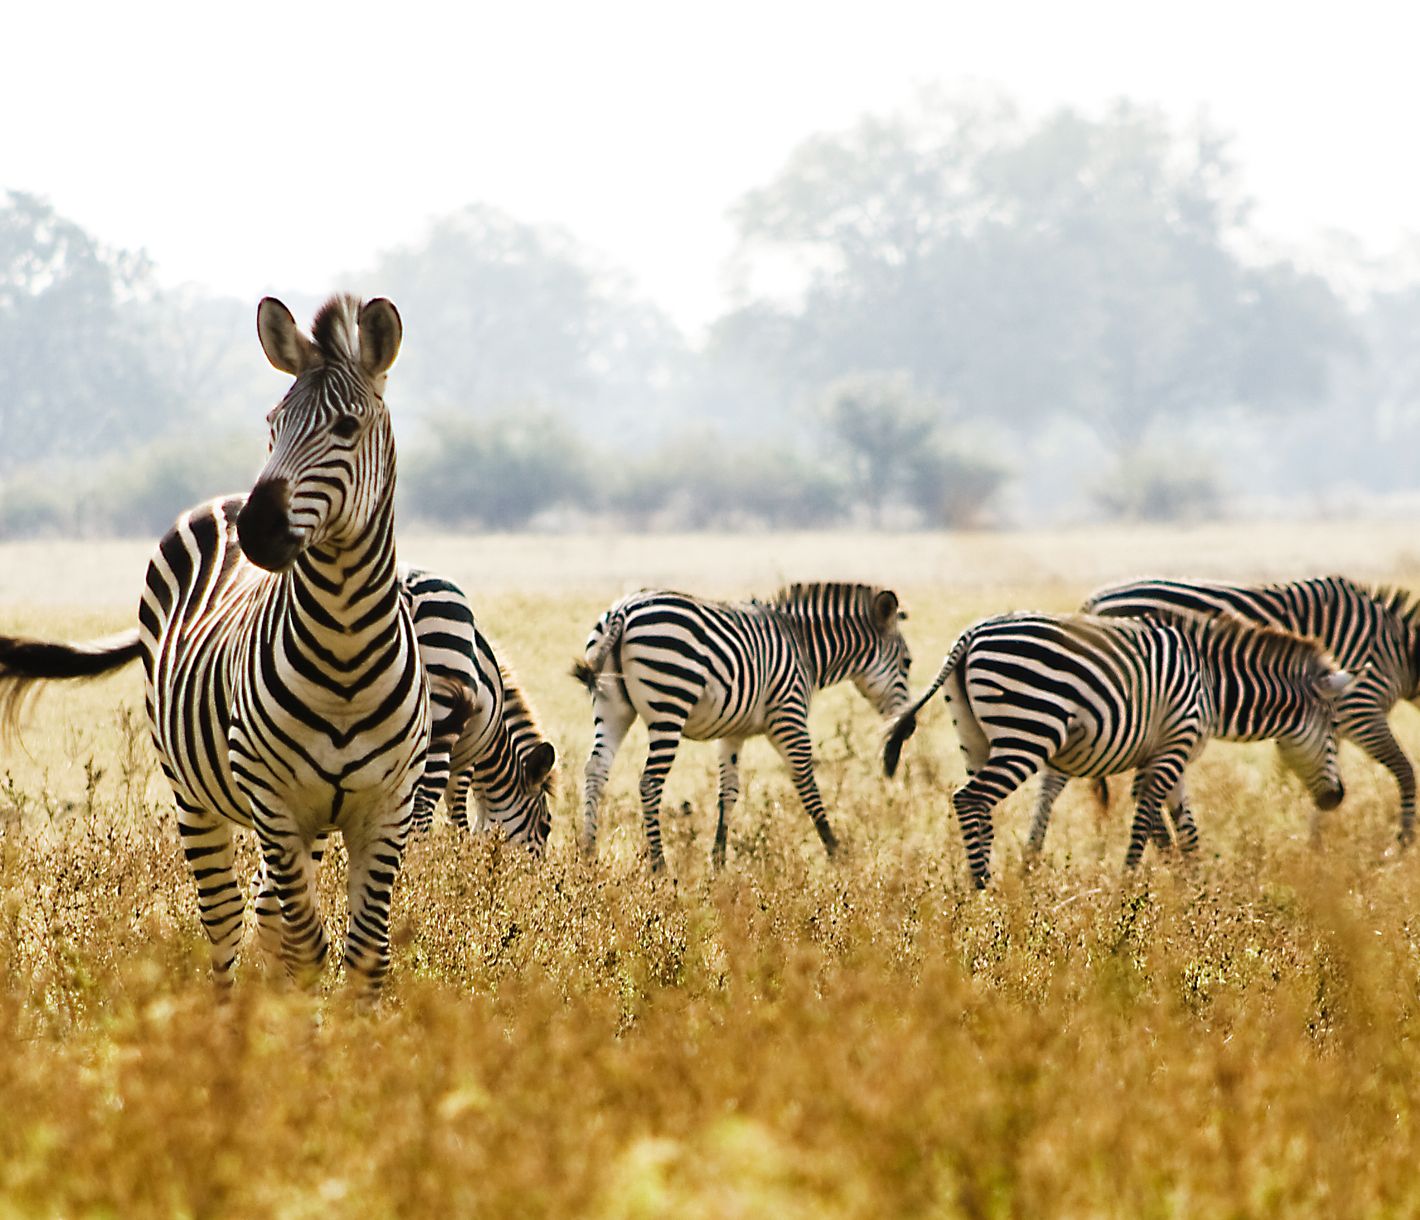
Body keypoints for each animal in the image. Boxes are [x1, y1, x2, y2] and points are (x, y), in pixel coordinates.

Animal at [0, 295, 428, 996]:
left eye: (346, 426)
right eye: (273, 423)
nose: (256, 528)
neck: (344, 647)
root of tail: (222, 500)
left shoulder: (385, 809)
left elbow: (367, 954)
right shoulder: (275, 803)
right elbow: (307, 948)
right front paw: (302, 1030)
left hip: (297, 823)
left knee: (264, 917)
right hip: (197, 795)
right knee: (226, 922)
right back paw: (227, 1017)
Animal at [573, 582, 911, 871]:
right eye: (907, 663)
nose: (908, 728)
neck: (804, 646)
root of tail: (624, 609)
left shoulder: (732, 733)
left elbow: (728, 792)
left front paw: (719, 861)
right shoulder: (788, 715)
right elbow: (807, 783)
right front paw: (836, 852)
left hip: (612, 707)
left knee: (596, 770)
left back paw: (589, 854)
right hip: (670, 705)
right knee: (650, 782)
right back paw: (659, 865)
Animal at [883, 610, 1352, 888]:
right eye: (1333, 728)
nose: (1336, 798)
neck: (1210, 683)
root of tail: (971, 634)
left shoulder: (1170, 750)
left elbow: (1186, 828)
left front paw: (1194, 889)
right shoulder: (1172, 748)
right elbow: (1147, 817)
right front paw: (1129, 889)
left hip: (974, 738)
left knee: (980, 807)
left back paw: (982, 890)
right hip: (1029, 730)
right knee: (970, 799)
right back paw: (985, 888)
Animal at [1057, 574, 1420, 847]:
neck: (1400, 653)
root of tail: (1093, 602)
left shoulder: (1329, 718)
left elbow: (1320, 766)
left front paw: (1315, 842)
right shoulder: (1360, 708)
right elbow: (1405, 771)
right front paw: (1403, 842)